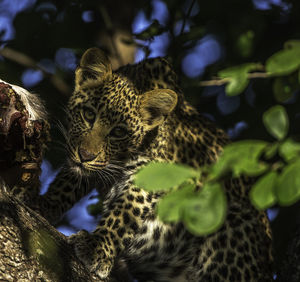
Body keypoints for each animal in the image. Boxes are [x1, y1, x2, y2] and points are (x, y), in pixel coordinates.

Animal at [37, 47, 272, 280]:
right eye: (88, 114)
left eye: (119, 132)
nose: (85, 155)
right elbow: (66, 184)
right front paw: (42, 204)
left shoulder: (150, 178)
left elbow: (123, 214)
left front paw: (97, 247)